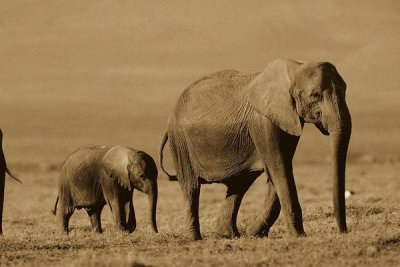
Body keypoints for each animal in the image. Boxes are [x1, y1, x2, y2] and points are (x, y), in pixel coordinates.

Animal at [161, 59, 352, 242]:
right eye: (315, 95)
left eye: (345, 90)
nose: (343, 232)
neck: (295, 68)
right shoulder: (263, 121)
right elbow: (279, 167)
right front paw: (298, 236)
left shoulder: (287, 119)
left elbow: (280, 168)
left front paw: (255, 234)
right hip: (180, 142)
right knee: (191, 188)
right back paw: (195, 239)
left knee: (239, 185)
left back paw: (228, 235)